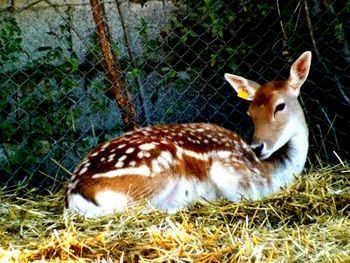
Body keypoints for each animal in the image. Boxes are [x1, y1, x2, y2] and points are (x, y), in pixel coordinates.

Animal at [65, 52, 312, 219]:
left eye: (280, 106)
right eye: (249, 112)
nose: (258, 147)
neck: (274, 174)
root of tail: (74, 193)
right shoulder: (228, 168)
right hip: (157, 170)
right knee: (139, 210)